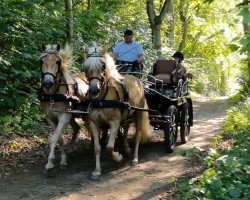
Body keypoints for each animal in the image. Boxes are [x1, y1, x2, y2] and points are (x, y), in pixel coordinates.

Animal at [38, 43, 89, 175]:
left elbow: (54, 137)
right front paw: (62, 160)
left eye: (57, 61)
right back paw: (72, 146)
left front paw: (49, 164)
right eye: (41, 61)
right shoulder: (50, 118)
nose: (47, 82)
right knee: (76, 128)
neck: (53, 95)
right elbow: (59, 138)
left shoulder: (64, 116)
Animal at [83, 43, 151, 179]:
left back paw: (135, 158)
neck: (101, 99)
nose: (94, 90)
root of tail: (137, 80)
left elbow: (109, 147)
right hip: (127, 114)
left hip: (139, 113)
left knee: (137, 135)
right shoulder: (94, 122)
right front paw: (97, 170)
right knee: (126, 128)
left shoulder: (114, 122)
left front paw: (118, 157)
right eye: (85, 66)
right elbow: (97, 147)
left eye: (103, 65)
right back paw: (127, 148)